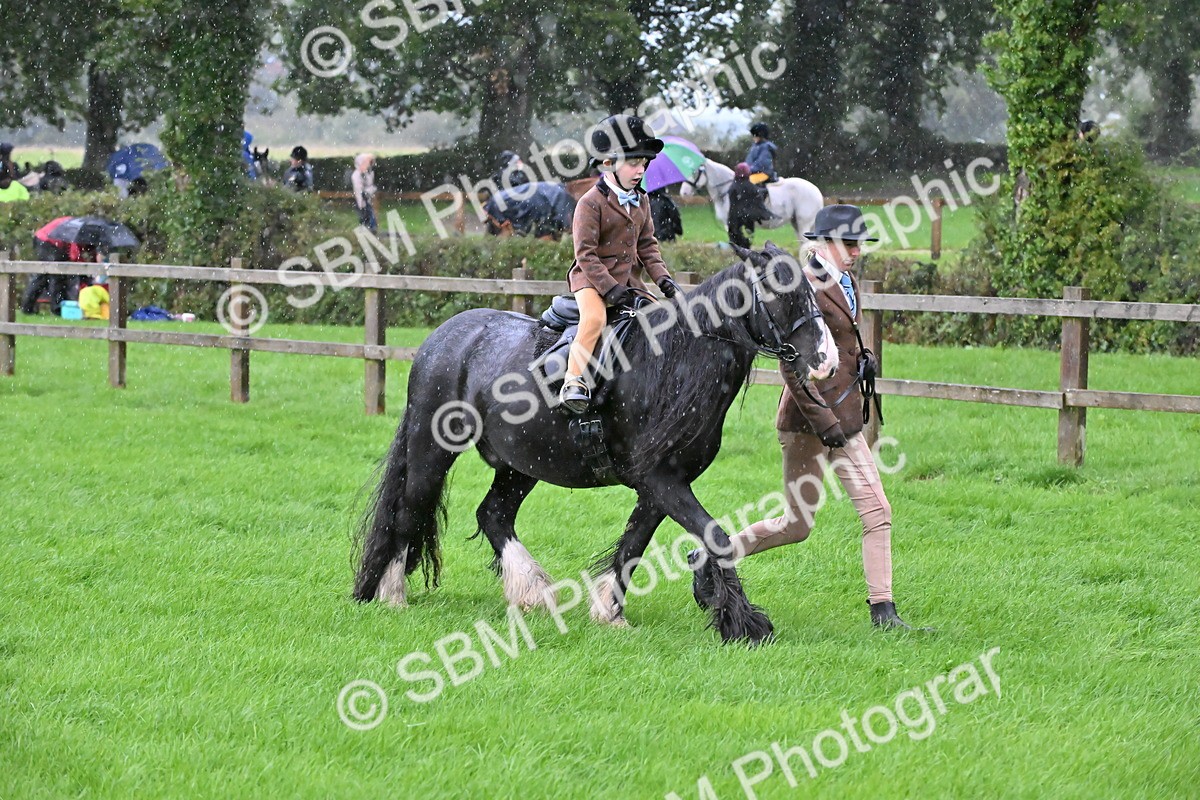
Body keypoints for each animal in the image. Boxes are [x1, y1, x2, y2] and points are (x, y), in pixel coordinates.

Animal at [353, 242, 838, 645]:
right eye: (779, 293)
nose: (827, 361)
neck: (673, 362)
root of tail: (443, 337)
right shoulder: (660, 480)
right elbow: (715, 536)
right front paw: (743, 622)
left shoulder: (660, 486)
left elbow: (634, 545)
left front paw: (611, 613)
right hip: (431, 450)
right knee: (409, 510)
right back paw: (392, 594)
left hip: (522, 462)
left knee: (493, 514)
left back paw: (533, 591)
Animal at [680, 159, 824, 244]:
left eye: (694, 172)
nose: (683, 193)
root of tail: (817, 191)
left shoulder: (732, 224)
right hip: (797, 224)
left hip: (804, 223)